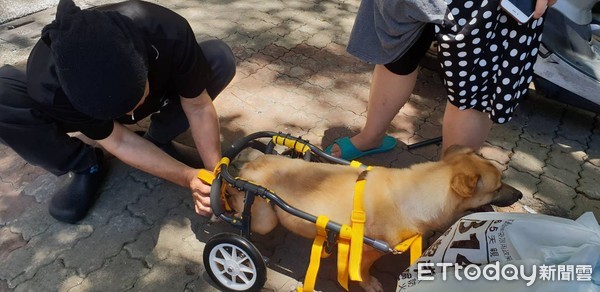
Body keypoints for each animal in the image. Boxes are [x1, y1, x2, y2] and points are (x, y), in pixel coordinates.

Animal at [227, 145, 524, 290]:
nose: (521, 194)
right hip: (263, 219)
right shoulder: (369, 251)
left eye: (502, 182)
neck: (418, 191)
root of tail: (251, 165)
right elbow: (363, 271)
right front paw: (368, 283)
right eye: (497, 188)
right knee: (240, 218)